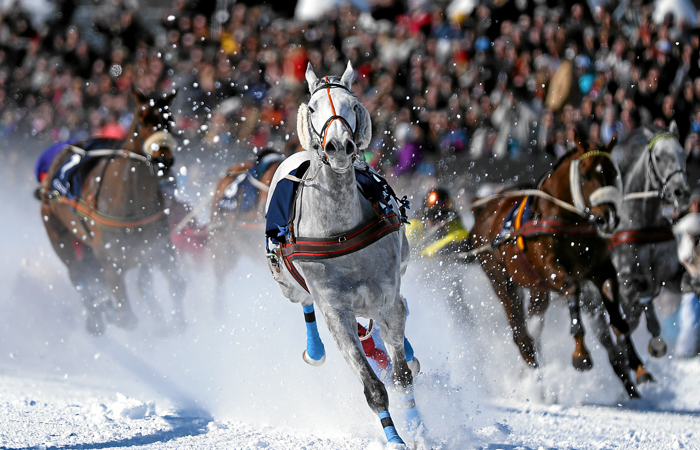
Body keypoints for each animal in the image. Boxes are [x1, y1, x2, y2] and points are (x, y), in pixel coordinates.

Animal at [39, 89, 185, 334]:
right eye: (141, 120)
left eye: (169, 120)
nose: (163, 159)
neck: (130, 203)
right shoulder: (109, 260)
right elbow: (127, 318)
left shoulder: (159, 248)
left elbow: (175, 283)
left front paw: (174, 322)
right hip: (56, 231)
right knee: (77, 274)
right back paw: (95, 315)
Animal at [266, 63, 422, 446]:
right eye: (313, 107)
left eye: (352, 105)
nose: (338, 145)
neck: (340, 230)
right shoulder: (336, 311)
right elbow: (373, 387)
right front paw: (395, 438)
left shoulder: (385, 295)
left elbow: (401, 373)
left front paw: (417, 432)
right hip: (288, 285)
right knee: (306, 302)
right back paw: (316, 350)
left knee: (394, 320)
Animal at [470, 134, 640, 398]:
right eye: (585, 175)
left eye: (613, 173)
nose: (609, 217)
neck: (569, 220)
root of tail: (483, 211)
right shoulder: (552, 269)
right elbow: (572, 288)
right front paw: (581, 354)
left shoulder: (601, 268)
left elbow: (613, 308)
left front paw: (631, 360)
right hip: (500, 279)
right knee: (522, 336)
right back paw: (539, 385)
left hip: (535, 286)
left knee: (534, 325)